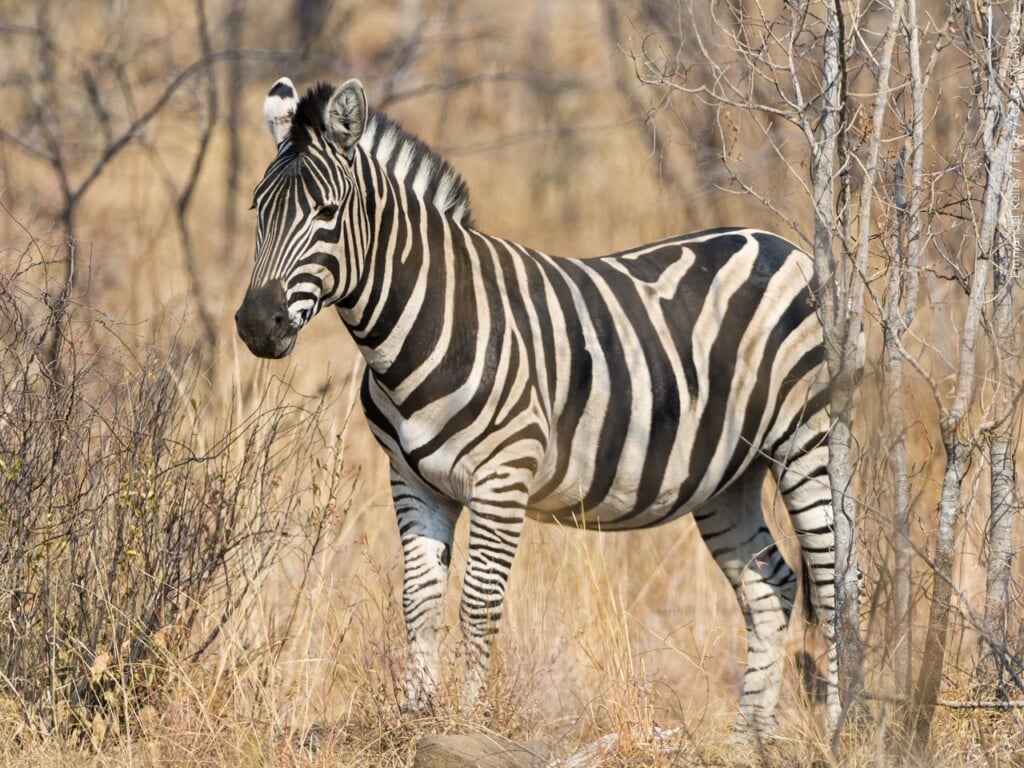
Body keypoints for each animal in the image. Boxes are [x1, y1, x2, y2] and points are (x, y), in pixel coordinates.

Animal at [235, 77, 840, 732]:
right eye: (257, 210)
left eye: (326, 213)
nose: (257, 325)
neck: (425, 324)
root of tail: (778, 244)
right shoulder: (412, 479)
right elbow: (419, 600)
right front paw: (415, 719)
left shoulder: (503, 477)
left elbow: (478, 605)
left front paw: (467, 726)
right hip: (727, 475)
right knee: (771, 588)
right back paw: (748, 739)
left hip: (806, 443)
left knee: (832, 583)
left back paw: (841, 728)